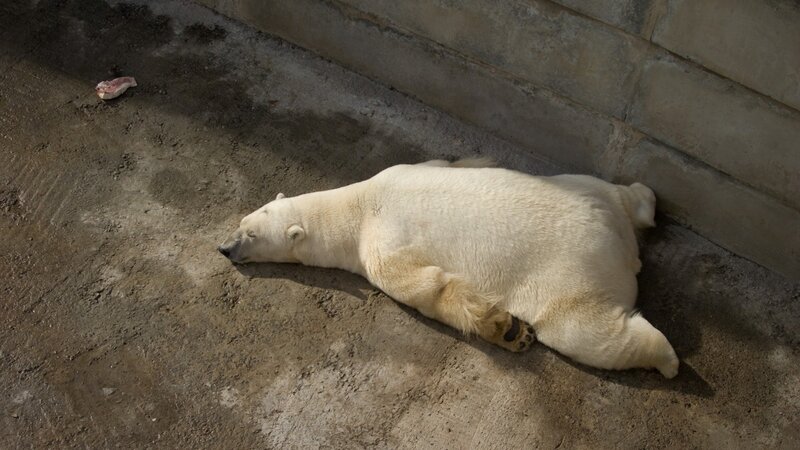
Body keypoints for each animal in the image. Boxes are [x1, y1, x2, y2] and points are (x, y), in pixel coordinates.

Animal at [218, 158, 679, 378]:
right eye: (242, 222)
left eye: (251, 235)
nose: (224, 248)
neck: (358, 204)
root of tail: (616, 238)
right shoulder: (406, 169)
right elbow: (443, 163)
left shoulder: (379, 244)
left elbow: (424, 285)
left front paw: (504, 327)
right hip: (586, 187)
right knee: (626, 192)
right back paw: (645, 200)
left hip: (570, 274)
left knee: (584, 331)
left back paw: (667, 359)